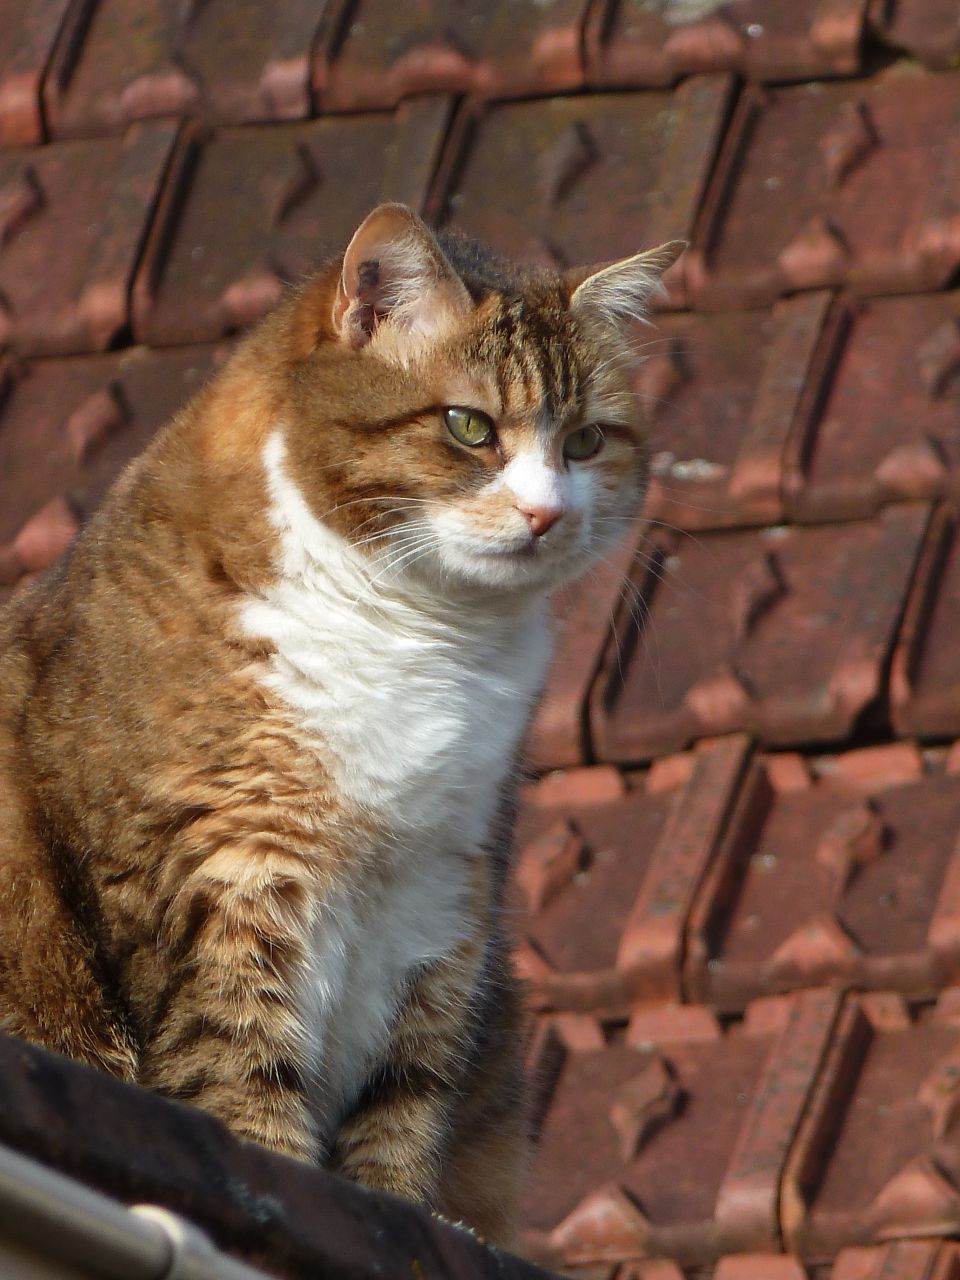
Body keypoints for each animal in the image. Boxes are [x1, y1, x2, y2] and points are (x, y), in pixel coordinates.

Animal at [0, 203, 680, 1244]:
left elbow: (405, 1106)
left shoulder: (444, 900)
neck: (419, 639)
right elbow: (240, 1072)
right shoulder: (223, 873)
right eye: (469, 426)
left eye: (587, 442)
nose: (546, 515)